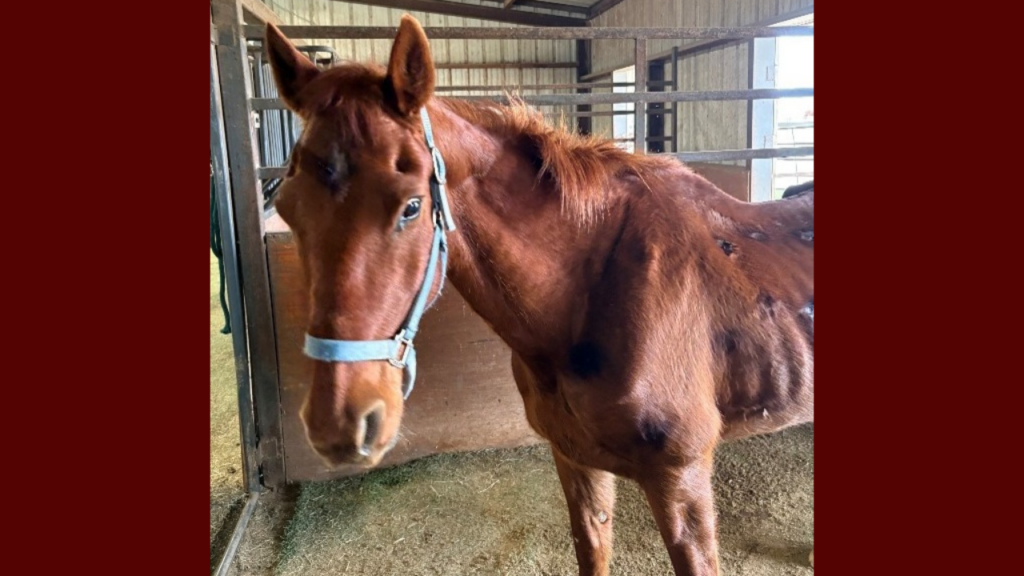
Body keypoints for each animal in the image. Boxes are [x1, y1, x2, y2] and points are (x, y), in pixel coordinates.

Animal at [264, 15, 813, 576]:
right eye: (285, 208)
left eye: (411, 206)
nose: (338, 424)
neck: (593, 292)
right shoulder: (575, 461)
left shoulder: (682, 480)